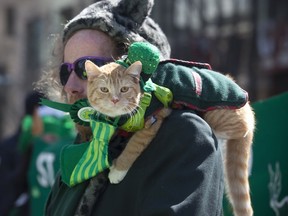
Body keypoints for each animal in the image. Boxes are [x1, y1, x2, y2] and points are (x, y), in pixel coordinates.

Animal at [84, 60, 254, 216]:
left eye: (124, 89)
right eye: (104, 89)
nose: (114, 100)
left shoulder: (154, 119)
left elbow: (133, 146)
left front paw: (118, 170)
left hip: (218, 115)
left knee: (242, 128)